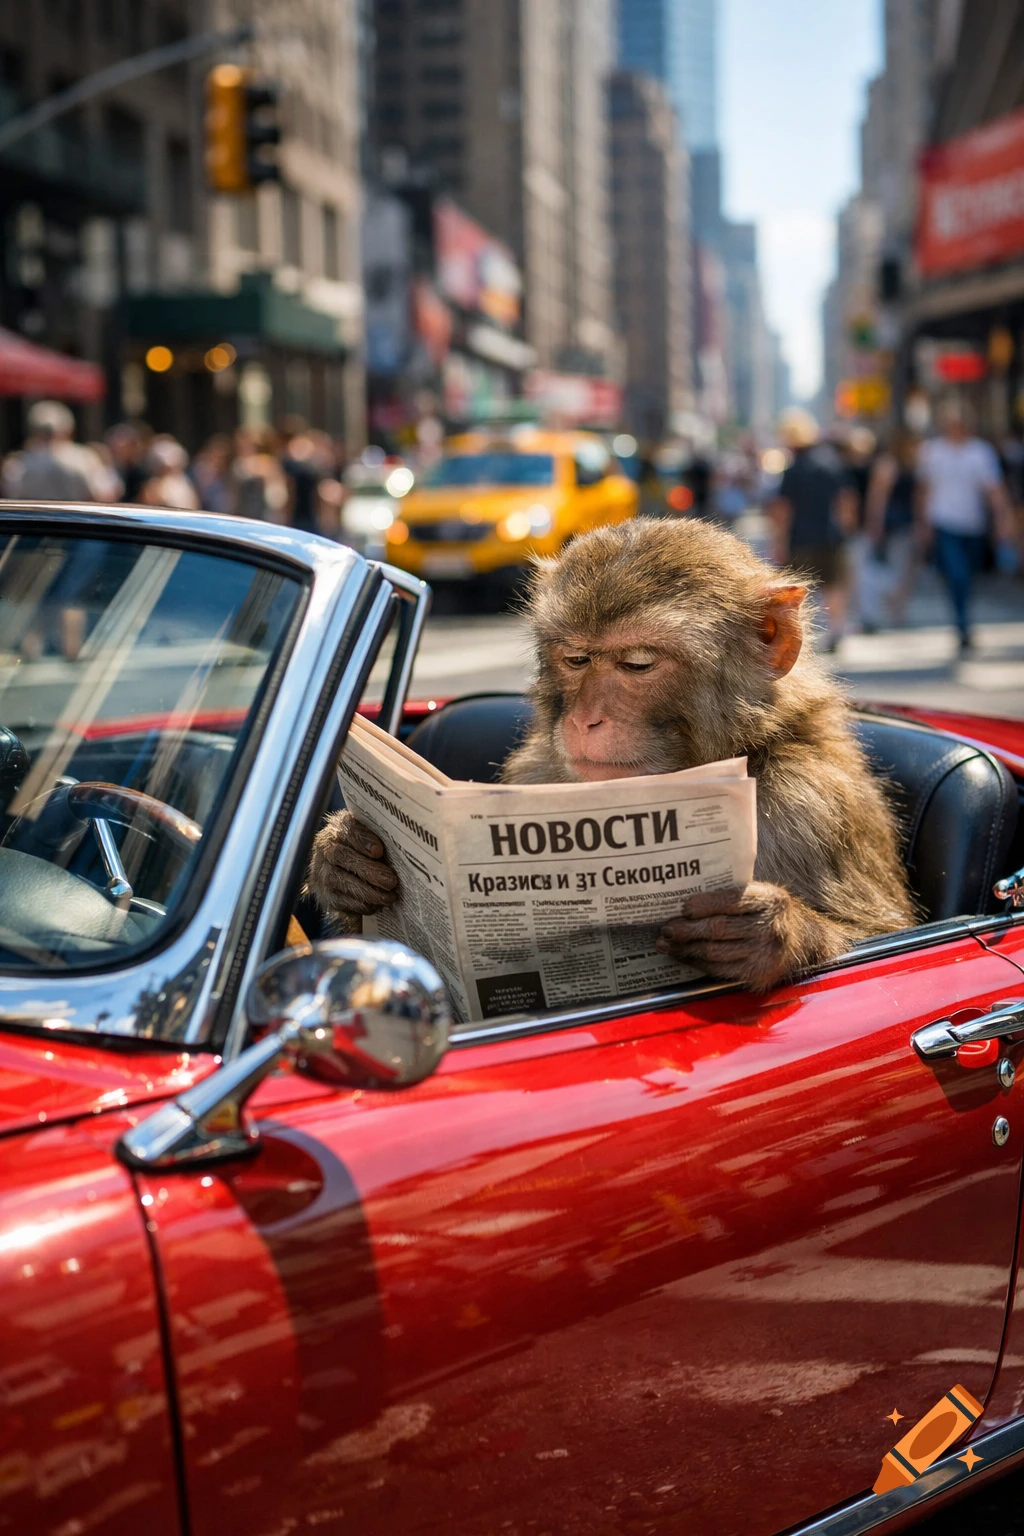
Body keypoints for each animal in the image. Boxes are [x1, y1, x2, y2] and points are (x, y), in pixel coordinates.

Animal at [307, 518, 916, 993]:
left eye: (637, 663)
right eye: (576, 658)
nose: (585, 720)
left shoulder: (809, 801)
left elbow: (880, 932)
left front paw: (768, 932)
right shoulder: (534, 772)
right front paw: (344, 859)